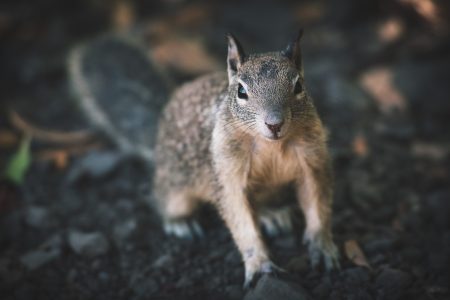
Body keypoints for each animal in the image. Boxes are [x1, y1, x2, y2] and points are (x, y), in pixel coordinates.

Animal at [68, 29, 340, 288]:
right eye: (241, 91)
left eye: (298, 86)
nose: (274, 123)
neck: (271, 146)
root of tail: (159, 131)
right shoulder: (226, 173)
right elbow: (240, 219)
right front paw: (260, 265)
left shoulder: (312, 161)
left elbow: (316, 201)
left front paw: (323, 247)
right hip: (175, 185)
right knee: (163, 199)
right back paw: (181, 222)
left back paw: (271, 214)